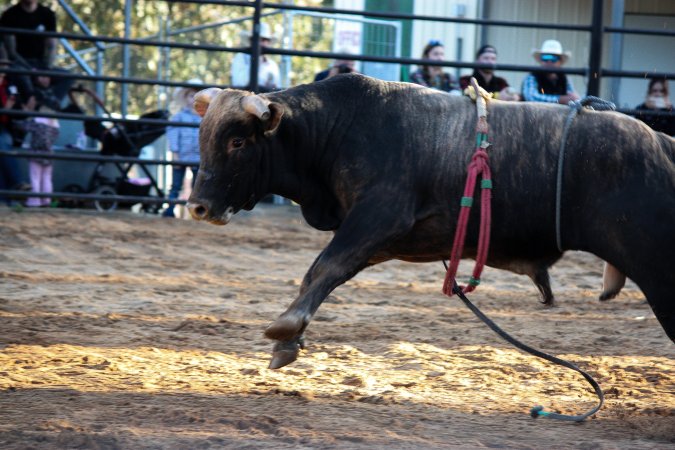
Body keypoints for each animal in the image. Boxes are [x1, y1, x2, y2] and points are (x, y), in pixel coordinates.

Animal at [187, 74, 675, 369]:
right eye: (204, 136)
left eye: (236, 141)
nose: (198, 208)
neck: (341, 128)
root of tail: (662, 143)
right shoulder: (386, 237)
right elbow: (327, 272)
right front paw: (289, 339)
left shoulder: (380, 215)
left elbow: (325, 266)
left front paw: (286, 328)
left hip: (657, 265)